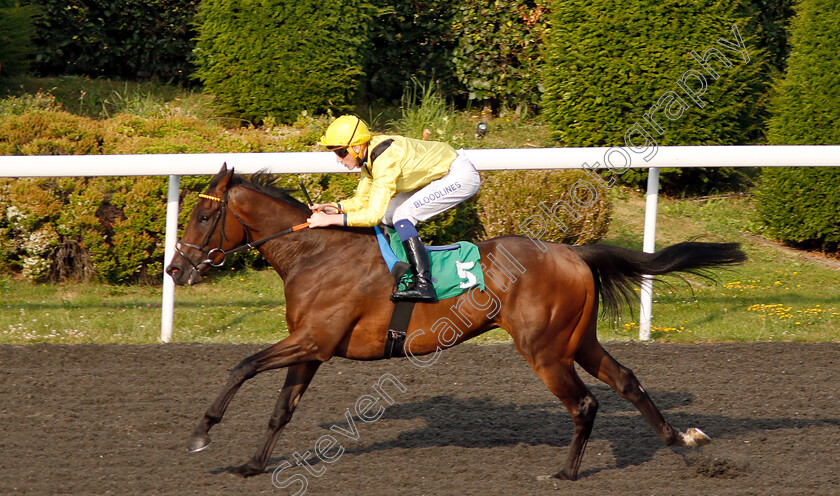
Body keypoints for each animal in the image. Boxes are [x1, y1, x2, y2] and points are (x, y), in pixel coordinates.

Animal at [167, 166, 744, 480]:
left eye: (203, 216)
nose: (175, 269)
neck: (316, 255)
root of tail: (572, 252)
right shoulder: (312, 347)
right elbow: (280, 410)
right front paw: (251, 464)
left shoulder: (311, 339)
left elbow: (242, 366)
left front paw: (200, 432)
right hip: (578, 341)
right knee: (626, 381)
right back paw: (680, 440)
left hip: (544, 349)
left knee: (584, 403)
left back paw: (566, 471)